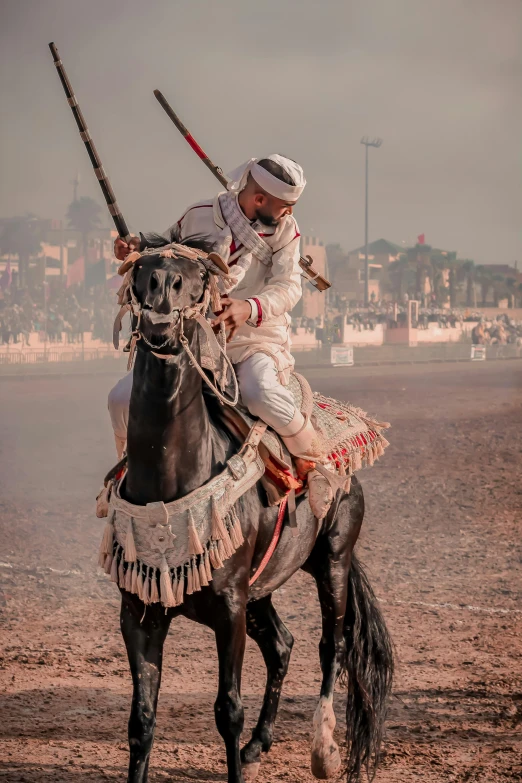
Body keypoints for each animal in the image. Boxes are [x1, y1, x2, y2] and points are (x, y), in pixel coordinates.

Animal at [116, 251, 390, 783]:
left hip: (333, 561)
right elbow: (142, 718)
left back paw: (324, 749)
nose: (162, 289)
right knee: (282, 645)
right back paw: (259, 743)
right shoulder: (139, 611)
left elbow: (228, 709)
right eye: (143, 266)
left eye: (198, 277)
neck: (169, 482)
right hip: (263, 585)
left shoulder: (230, 608)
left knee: (333, 645)